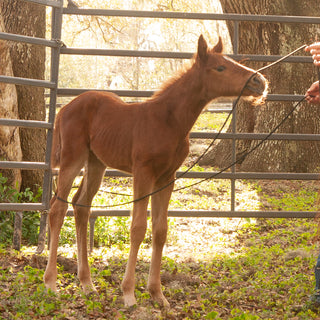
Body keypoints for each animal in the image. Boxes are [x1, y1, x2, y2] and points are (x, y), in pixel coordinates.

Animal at [43, 33, 268, 306]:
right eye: (220, 67)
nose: (259, 81)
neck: (168, 120)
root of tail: (65, 108)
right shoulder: (143, 173)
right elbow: (138, 227)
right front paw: (129, 293)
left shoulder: (166, 177)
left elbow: (160, 230)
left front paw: (157, 294)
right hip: (72, 159)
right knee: (58, 209)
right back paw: (51, 282)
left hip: (96, 163)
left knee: (80, 206)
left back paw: (87, 283)